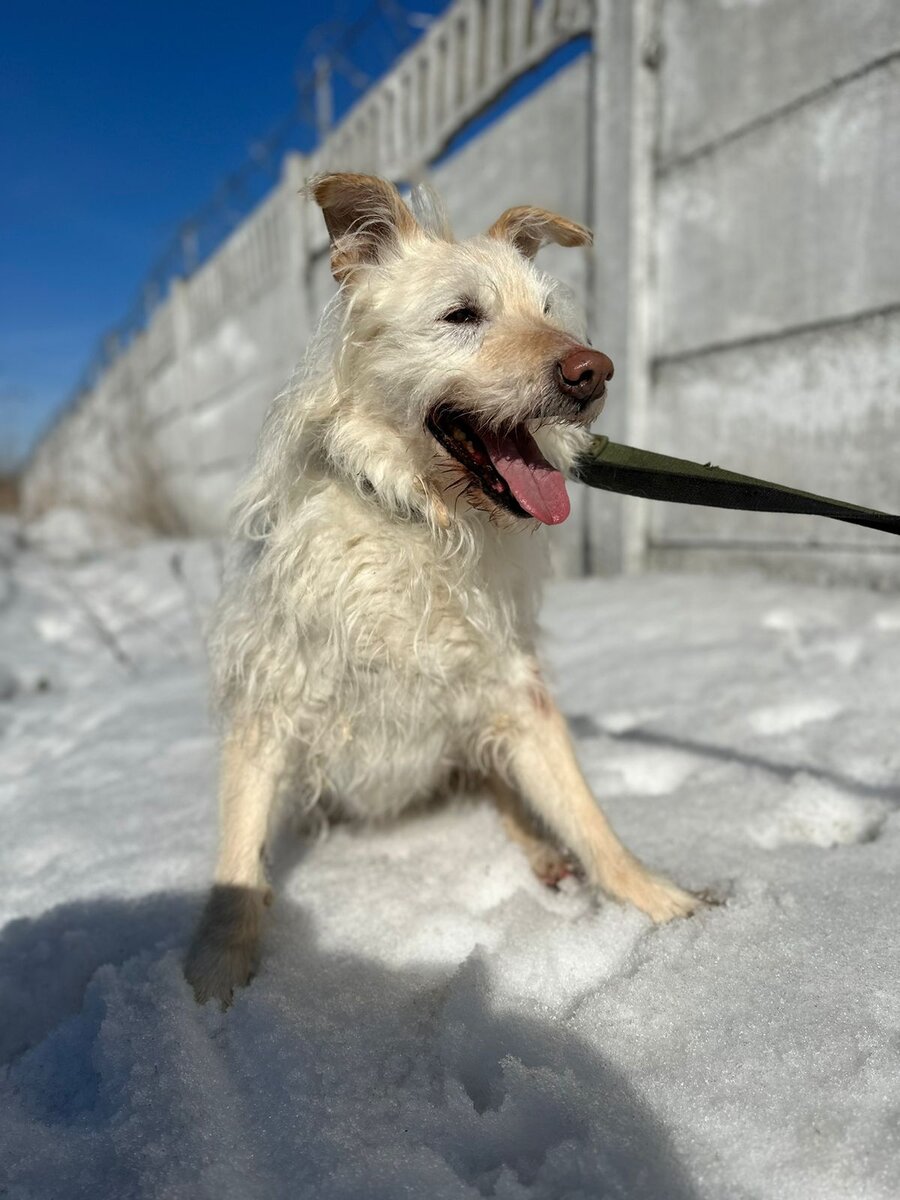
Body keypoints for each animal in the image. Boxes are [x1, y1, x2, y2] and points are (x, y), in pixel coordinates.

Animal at [183, 174, 705, 1008]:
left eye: (549, 311)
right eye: (461, 314)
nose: (593, 370)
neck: (418, 521)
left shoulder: (512, 688)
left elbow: (582, 809)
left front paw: (656, 901)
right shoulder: (271, 695)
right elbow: (240, 854)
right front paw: (216, 975)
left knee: (510, 797)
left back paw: (546, 857)